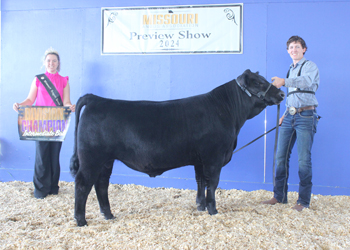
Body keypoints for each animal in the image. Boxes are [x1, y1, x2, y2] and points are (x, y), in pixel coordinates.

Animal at [70, 69, 284, 226]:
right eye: (258, 83)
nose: (282, 93)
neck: (228, 113)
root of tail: (97, 99)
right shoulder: (214, 157)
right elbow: (213, 183)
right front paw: (213, 210)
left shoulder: (200, 160)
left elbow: (200, 181)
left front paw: (200, 206)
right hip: (92, 158)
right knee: (83, 184)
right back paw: (81, 220)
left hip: (106, 160)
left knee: (101, 184)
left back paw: (108, 215)